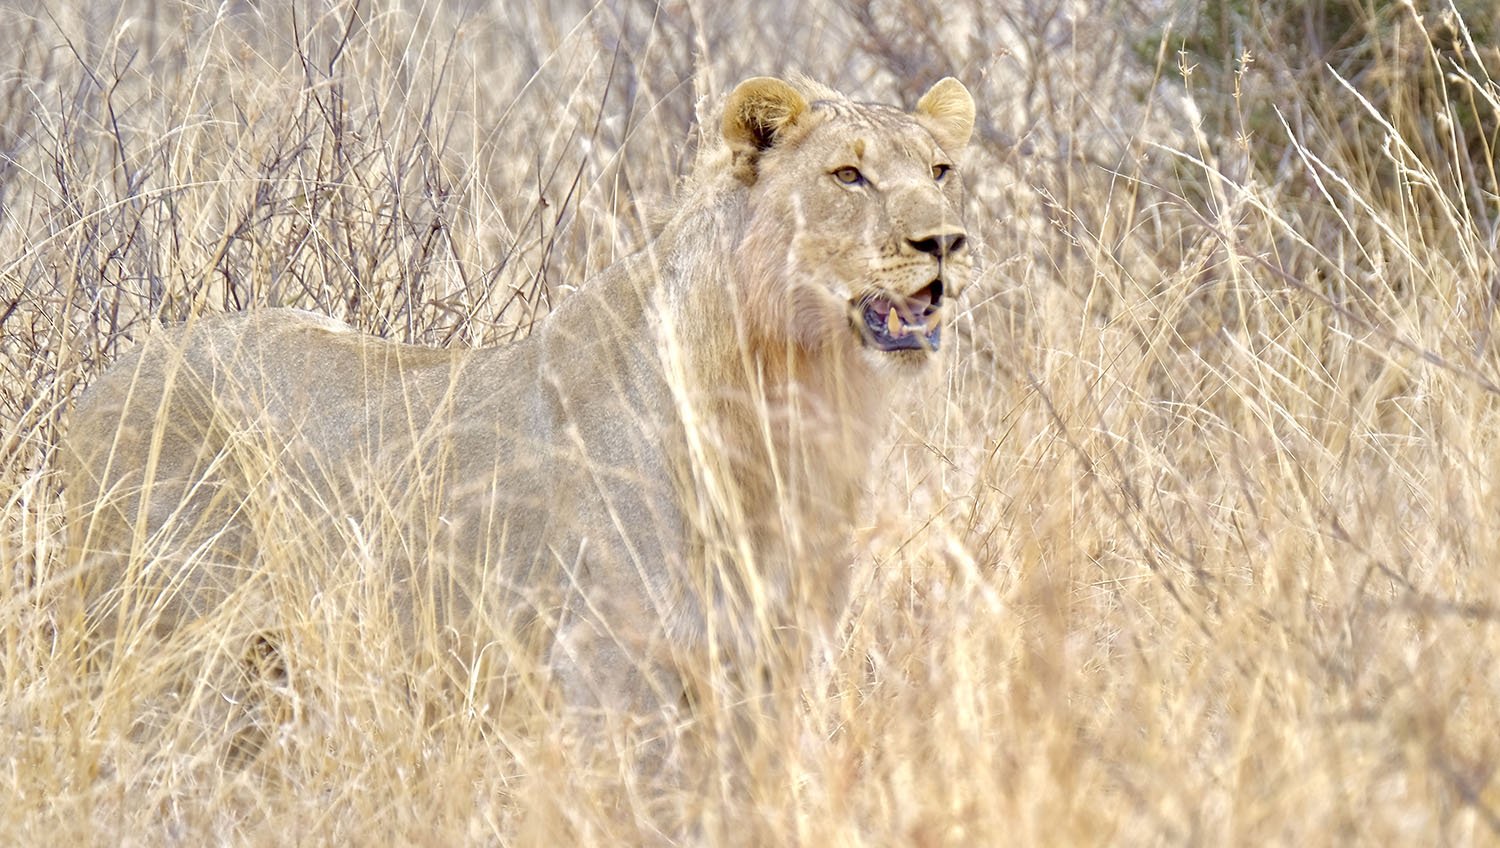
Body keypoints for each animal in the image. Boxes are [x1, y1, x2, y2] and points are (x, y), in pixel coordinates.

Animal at [58, 74, 978, 720]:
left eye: (940, 171)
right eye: (848, 175)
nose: (945, 241)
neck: (794, 391)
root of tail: (103, 386)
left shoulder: (773, 666)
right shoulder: (605, 670)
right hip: (166, 646)